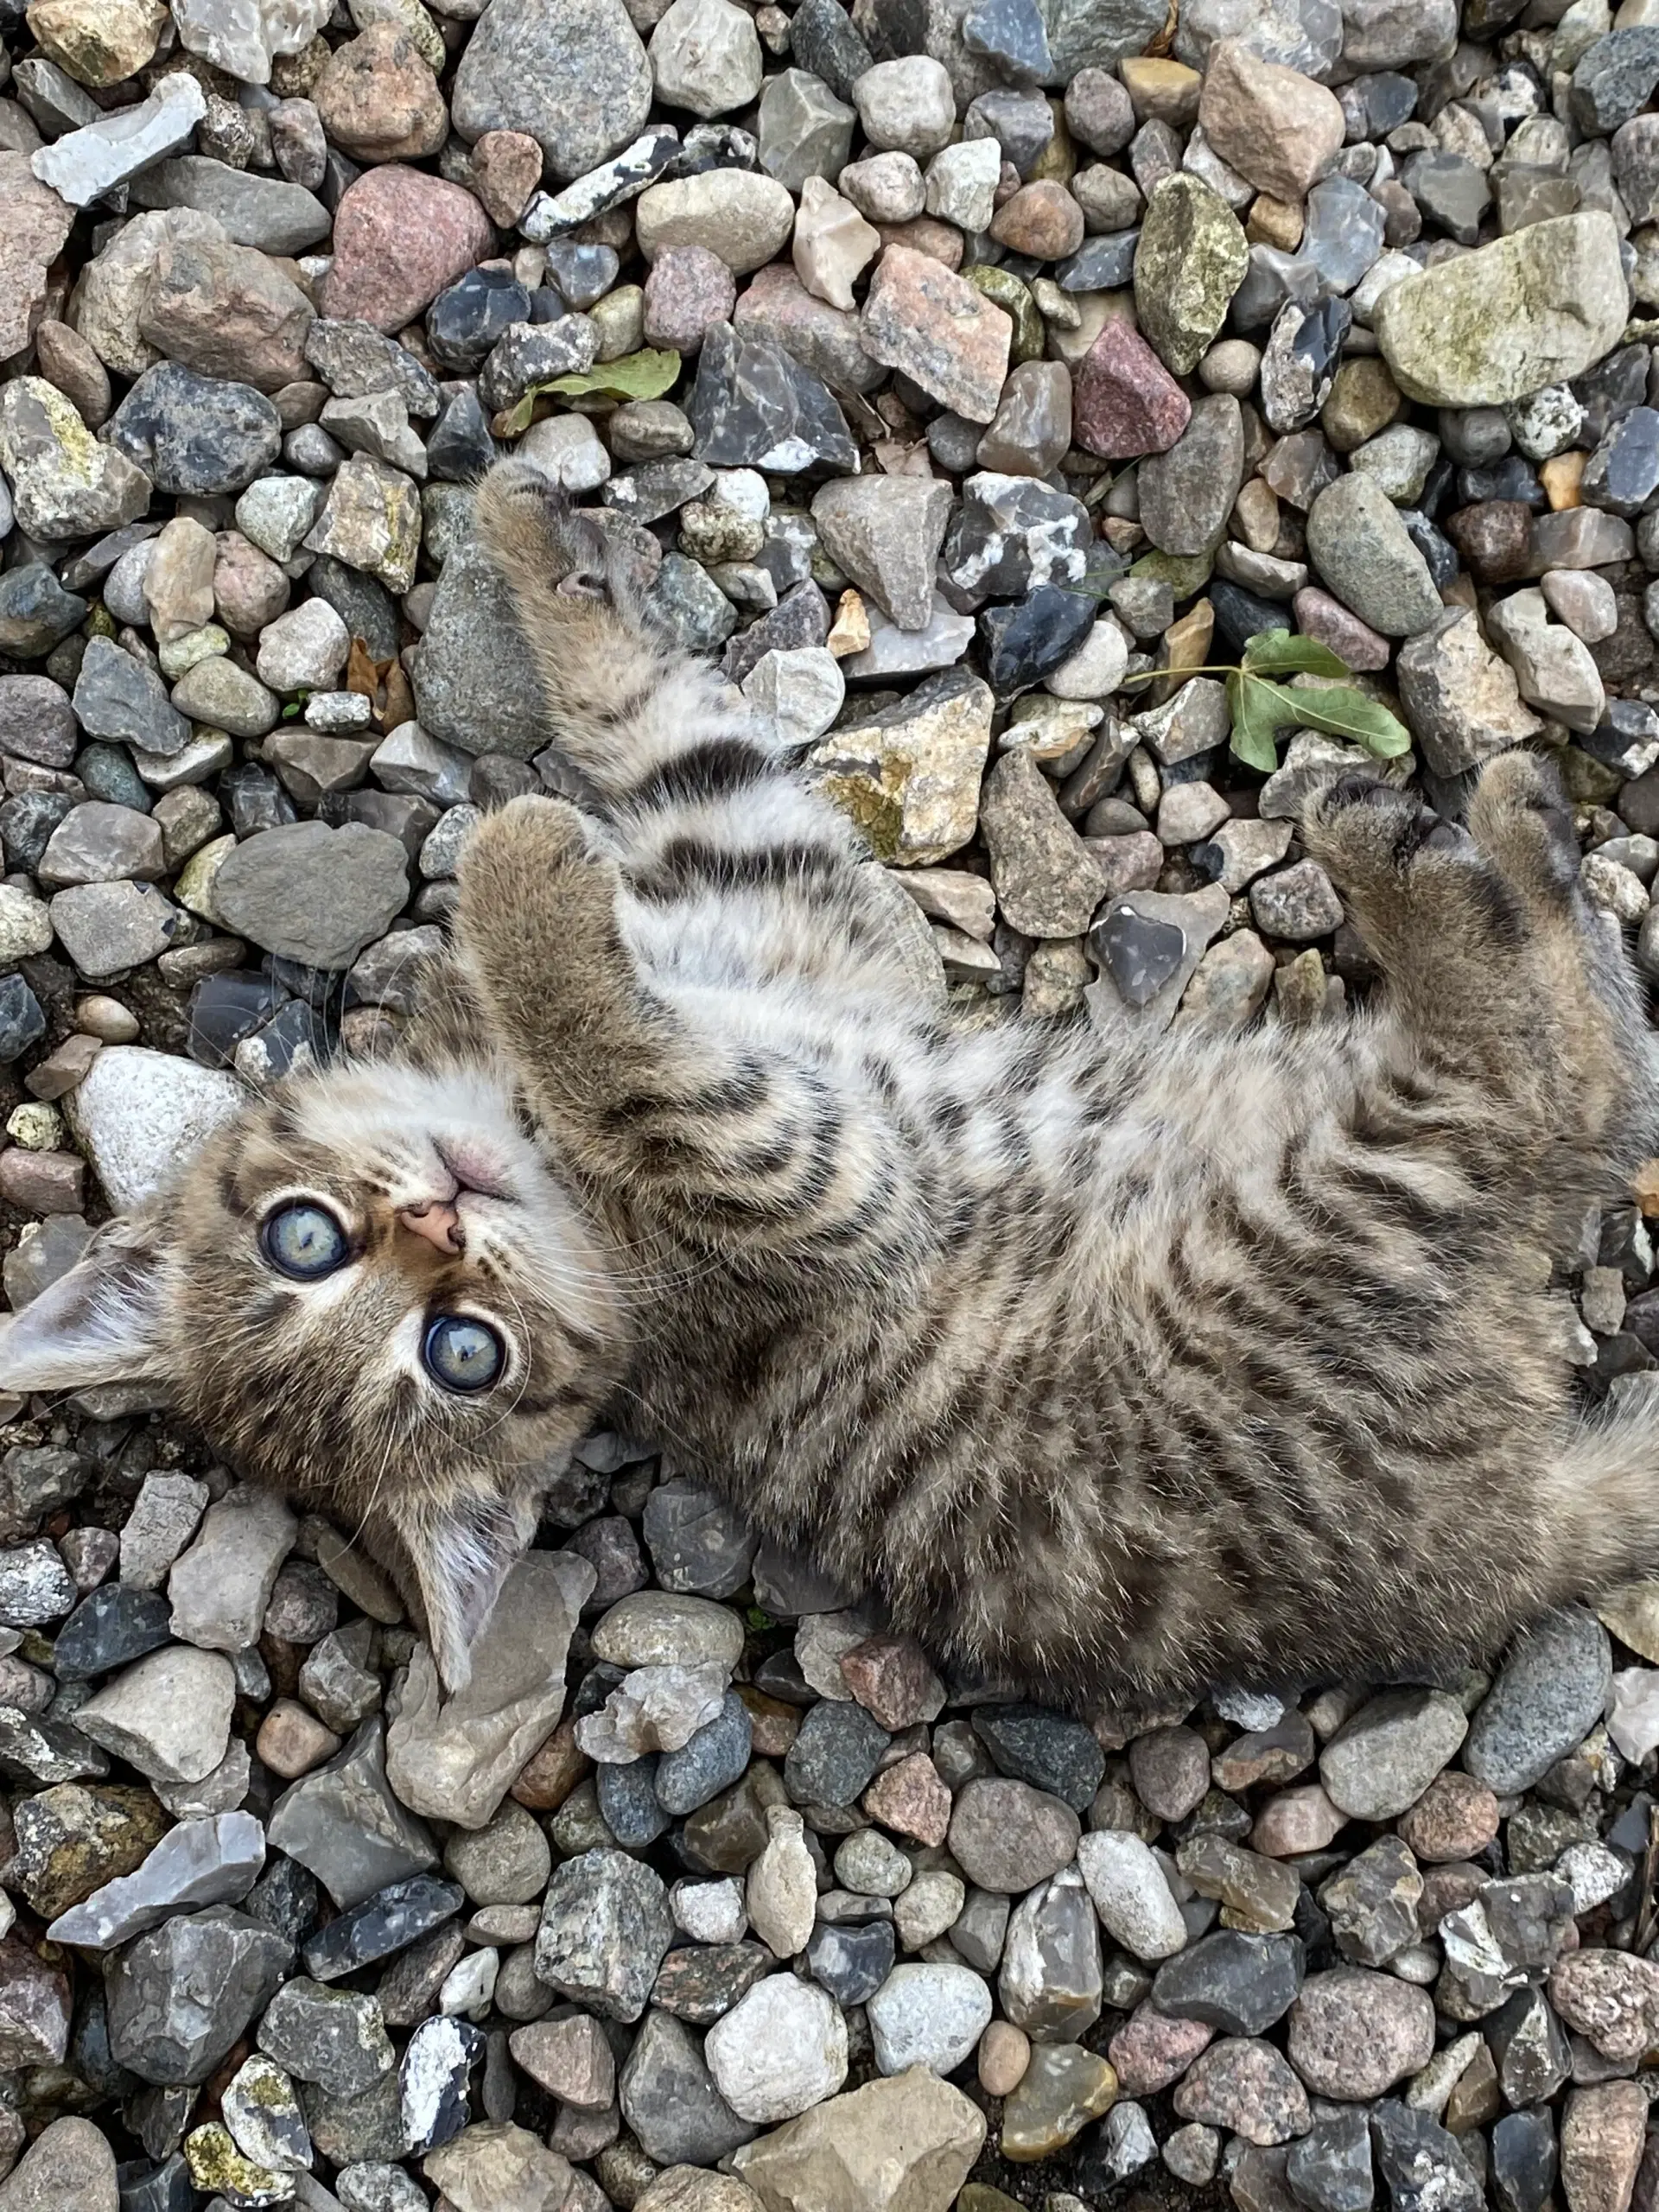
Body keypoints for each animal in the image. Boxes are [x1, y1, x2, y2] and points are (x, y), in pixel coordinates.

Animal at [10, 462, 1659, 1707]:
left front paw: (538, 550)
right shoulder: (803, 1183)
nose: (438, 1217)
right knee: (1535, 1081)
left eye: (304, 1236)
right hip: (1321, 1222)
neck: (507, 1106)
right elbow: (624, 1048)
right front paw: (519, 873)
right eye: (462, 1355)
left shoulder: (777, 892)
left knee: (1605, 1081)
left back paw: (1523, 827)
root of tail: (1508, 1539)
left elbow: (663, 734)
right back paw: (1404, 846)